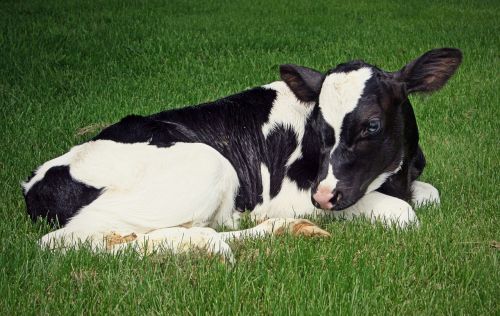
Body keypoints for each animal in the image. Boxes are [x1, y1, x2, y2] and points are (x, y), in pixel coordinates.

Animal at [22, 47, 460, 260]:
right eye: (319, 126)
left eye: (372, 125)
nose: (323, 198)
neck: (396, 174)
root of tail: (36, 182)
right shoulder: (294, 194)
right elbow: (404, 214)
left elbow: (431, 195)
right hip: (209, 165)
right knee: (62, 241)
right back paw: (204, 245)